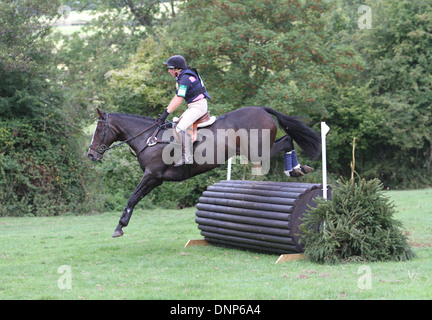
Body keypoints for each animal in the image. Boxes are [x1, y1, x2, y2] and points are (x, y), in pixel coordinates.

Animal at [87, 106, 320, 236]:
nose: (90, 154)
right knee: (287, 140)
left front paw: (119, 227)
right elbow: (135, 198)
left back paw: (294, 170)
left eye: (99, 129)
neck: (148, 138)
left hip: (258, 150)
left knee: (287, 140)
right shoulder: (155, 178)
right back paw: (297, 169)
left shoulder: (152, 176)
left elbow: (132, 198)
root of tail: (262, 109)